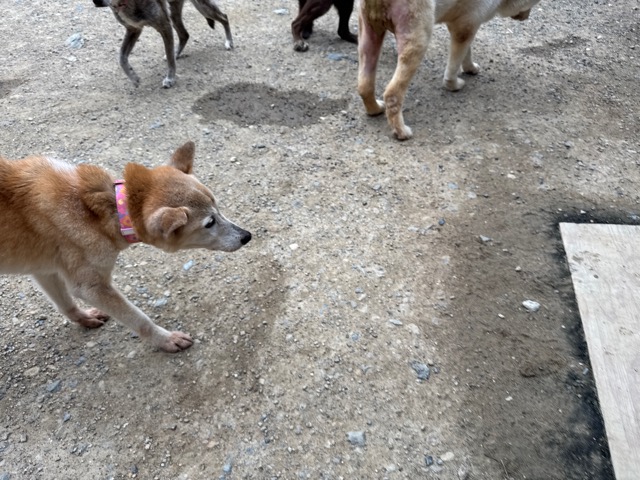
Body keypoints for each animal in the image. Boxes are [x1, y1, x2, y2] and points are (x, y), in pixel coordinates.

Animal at [0, 141, 251, 352]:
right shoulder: (91, 287)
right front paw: (165, 339)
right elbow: (138, 318)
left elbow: (65, 303)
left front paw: (82, 318)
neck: (105, 212)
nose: (247, 236)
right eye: (209, 223)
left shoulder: (46, 269)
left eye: (218, 208)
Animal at [93, 0, 233, 88]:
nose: (96, 2)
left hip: (203, 7)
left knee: (225, 17)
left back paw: (229, 42)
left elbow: (170, 59)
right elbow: (121, 57)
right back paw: (177, 53)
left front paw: (170, 79)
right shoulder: (134, 29)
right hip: (174, 14)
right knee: (184, 35)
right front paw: (133, 77)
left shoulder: (164, 26)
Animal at [358, 0, 541, 140]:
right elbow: (455, 60)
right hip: (415, 34)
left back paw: (374, 109)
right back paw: (401, 131)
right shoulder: (464, 27)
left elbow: (467, 51)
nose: (527, 16)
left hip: (368, 34)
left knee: (364, 84)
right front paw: (453, 84)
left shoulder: (465, 23)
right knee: (393, 93)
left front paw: (470, 67)